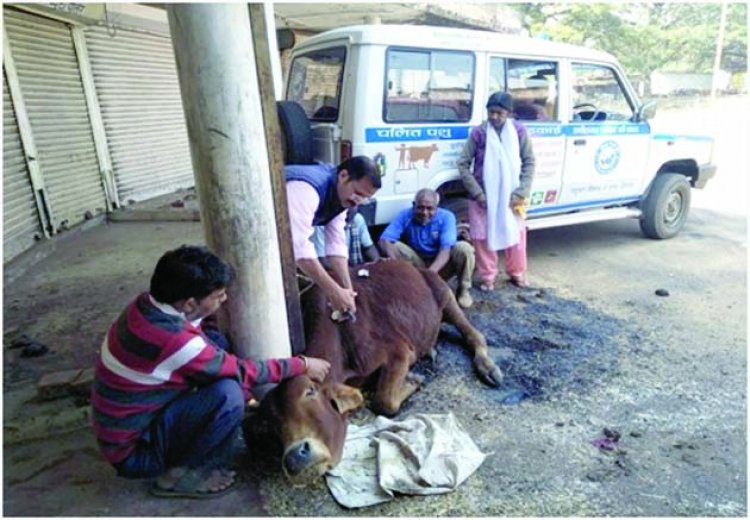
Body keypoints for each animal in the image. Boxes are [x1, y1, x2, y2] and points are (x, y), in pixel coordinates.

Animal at [256, 260, 502, 484]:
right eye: (271, 425)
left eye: (310, 391)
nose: (294, 458)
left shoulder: (400, 351)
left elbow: (384, 402)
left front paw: (414, 379)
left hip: (444, 294)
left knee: (474, 335)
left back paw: (487, 367)